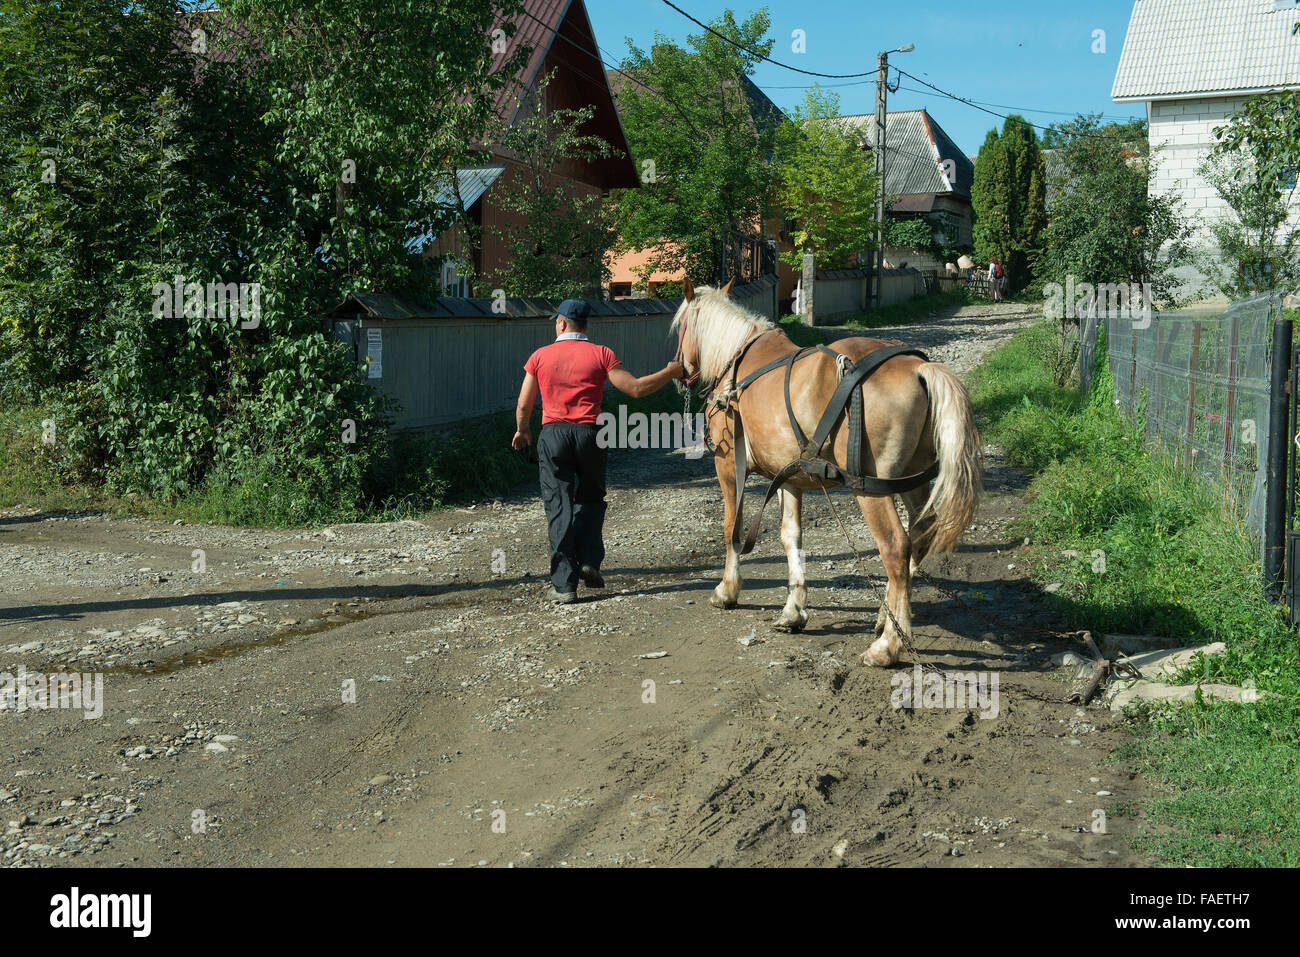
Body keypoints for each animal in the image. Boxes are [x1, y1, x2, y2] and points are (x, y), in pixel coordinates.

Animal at [671, 278, 982, 667]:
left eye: (680, 327)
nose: (678, 372)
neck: (737, 364)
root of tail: (915, 368)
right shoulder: (789, 477)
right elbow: (791, 537)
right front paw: (793, 610)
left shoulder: (729, 468)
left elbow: (732, 528)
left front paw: (727, 589)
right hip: (911, 481)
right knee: (923, 533)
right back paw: (886, 617)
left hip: (871, 489)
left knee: (897, 548)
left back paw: (888, 645)